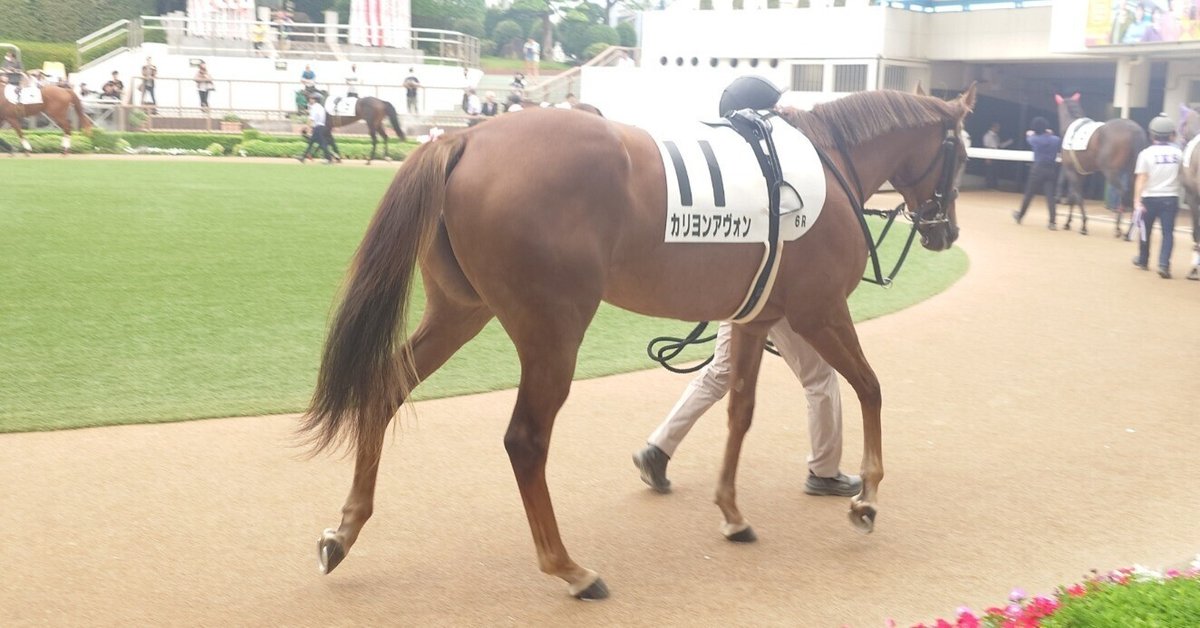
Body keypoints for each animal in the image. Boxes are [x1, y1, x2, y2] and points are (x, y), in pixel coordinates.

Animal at [300, 86, 975, 599]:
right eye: (963, 154)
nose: (944, 232)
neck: (830, 162)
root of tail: (460, 139)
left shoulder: (755, 320)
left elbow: (739, 410)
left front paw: (732, 514)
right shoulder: (821, 311)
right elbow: (869, 386)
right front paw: (866, 498)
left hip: (460, 311)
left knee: (384, 390)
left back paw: (344, 531)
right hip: (552, 330)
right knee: (525, 440)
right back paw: (569, 569)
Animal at [1054, 92, 1147, 237]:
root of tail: (1134, 130)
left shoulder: (1071, 171)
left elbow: (1077, 196)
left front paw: (1083, 225)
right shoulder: (1080, 173)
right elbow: (1074, 196)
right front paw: (1068, 222)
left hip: (1111, 171)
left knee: (1123, 192)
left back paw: (1118, 228)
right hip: (1133, 172)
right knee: (1135, 195)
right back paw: (1128, 230)